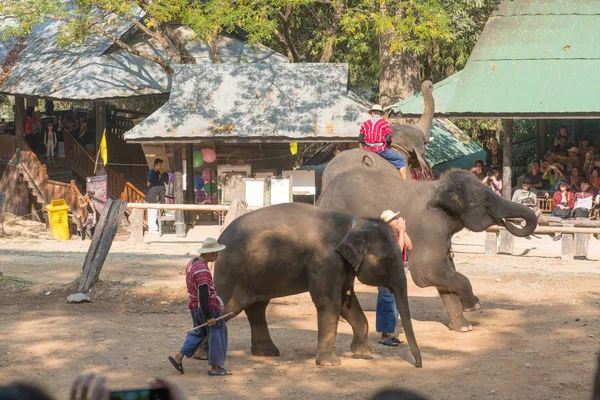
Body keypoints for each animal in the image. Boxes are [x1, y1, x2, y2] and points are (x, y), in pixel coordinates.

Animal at [216, 203, 422, 368]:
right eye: (388, 261)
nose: (417, 365)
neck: (354, 225)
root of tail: (220, 239)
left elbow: (347, 303)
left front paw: (363, 352)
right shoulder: (326, 260)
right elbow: (330, 303)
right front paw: (330, 363)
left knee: (257, 308)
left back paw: (267, 352)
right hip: (232, 272)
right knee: (228, 307)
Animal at [316, 158, 536, 332]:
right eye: (486, 199)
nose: (505, 221)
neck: (437, 187)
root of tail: (322, 195)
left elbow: (445, 272)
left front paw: (464, 328)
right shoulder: (428, 229)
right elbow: (428, 271)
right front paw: (474, 306)